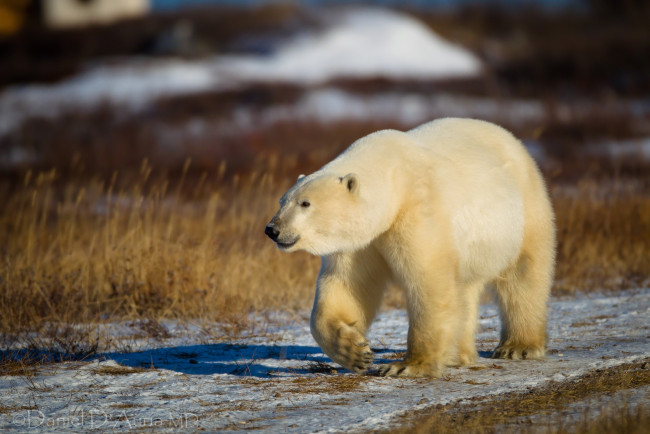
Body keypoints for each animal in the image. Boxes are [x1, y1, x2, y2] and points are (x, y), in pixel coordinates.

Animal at [264, 118, 552, 376]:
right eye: (282, 201)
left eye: (305, 203)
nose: (272, 229)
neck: (393, 179)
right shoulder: (360, 241)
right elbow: (347, 285)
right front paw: (355, 351)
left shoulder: (417, 210)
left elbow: (428, 281)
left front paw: (408, 365)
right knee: (465, 289)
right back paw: (458, 355)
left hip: (524, 210)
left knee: (523, 276)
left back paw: (517, 347)